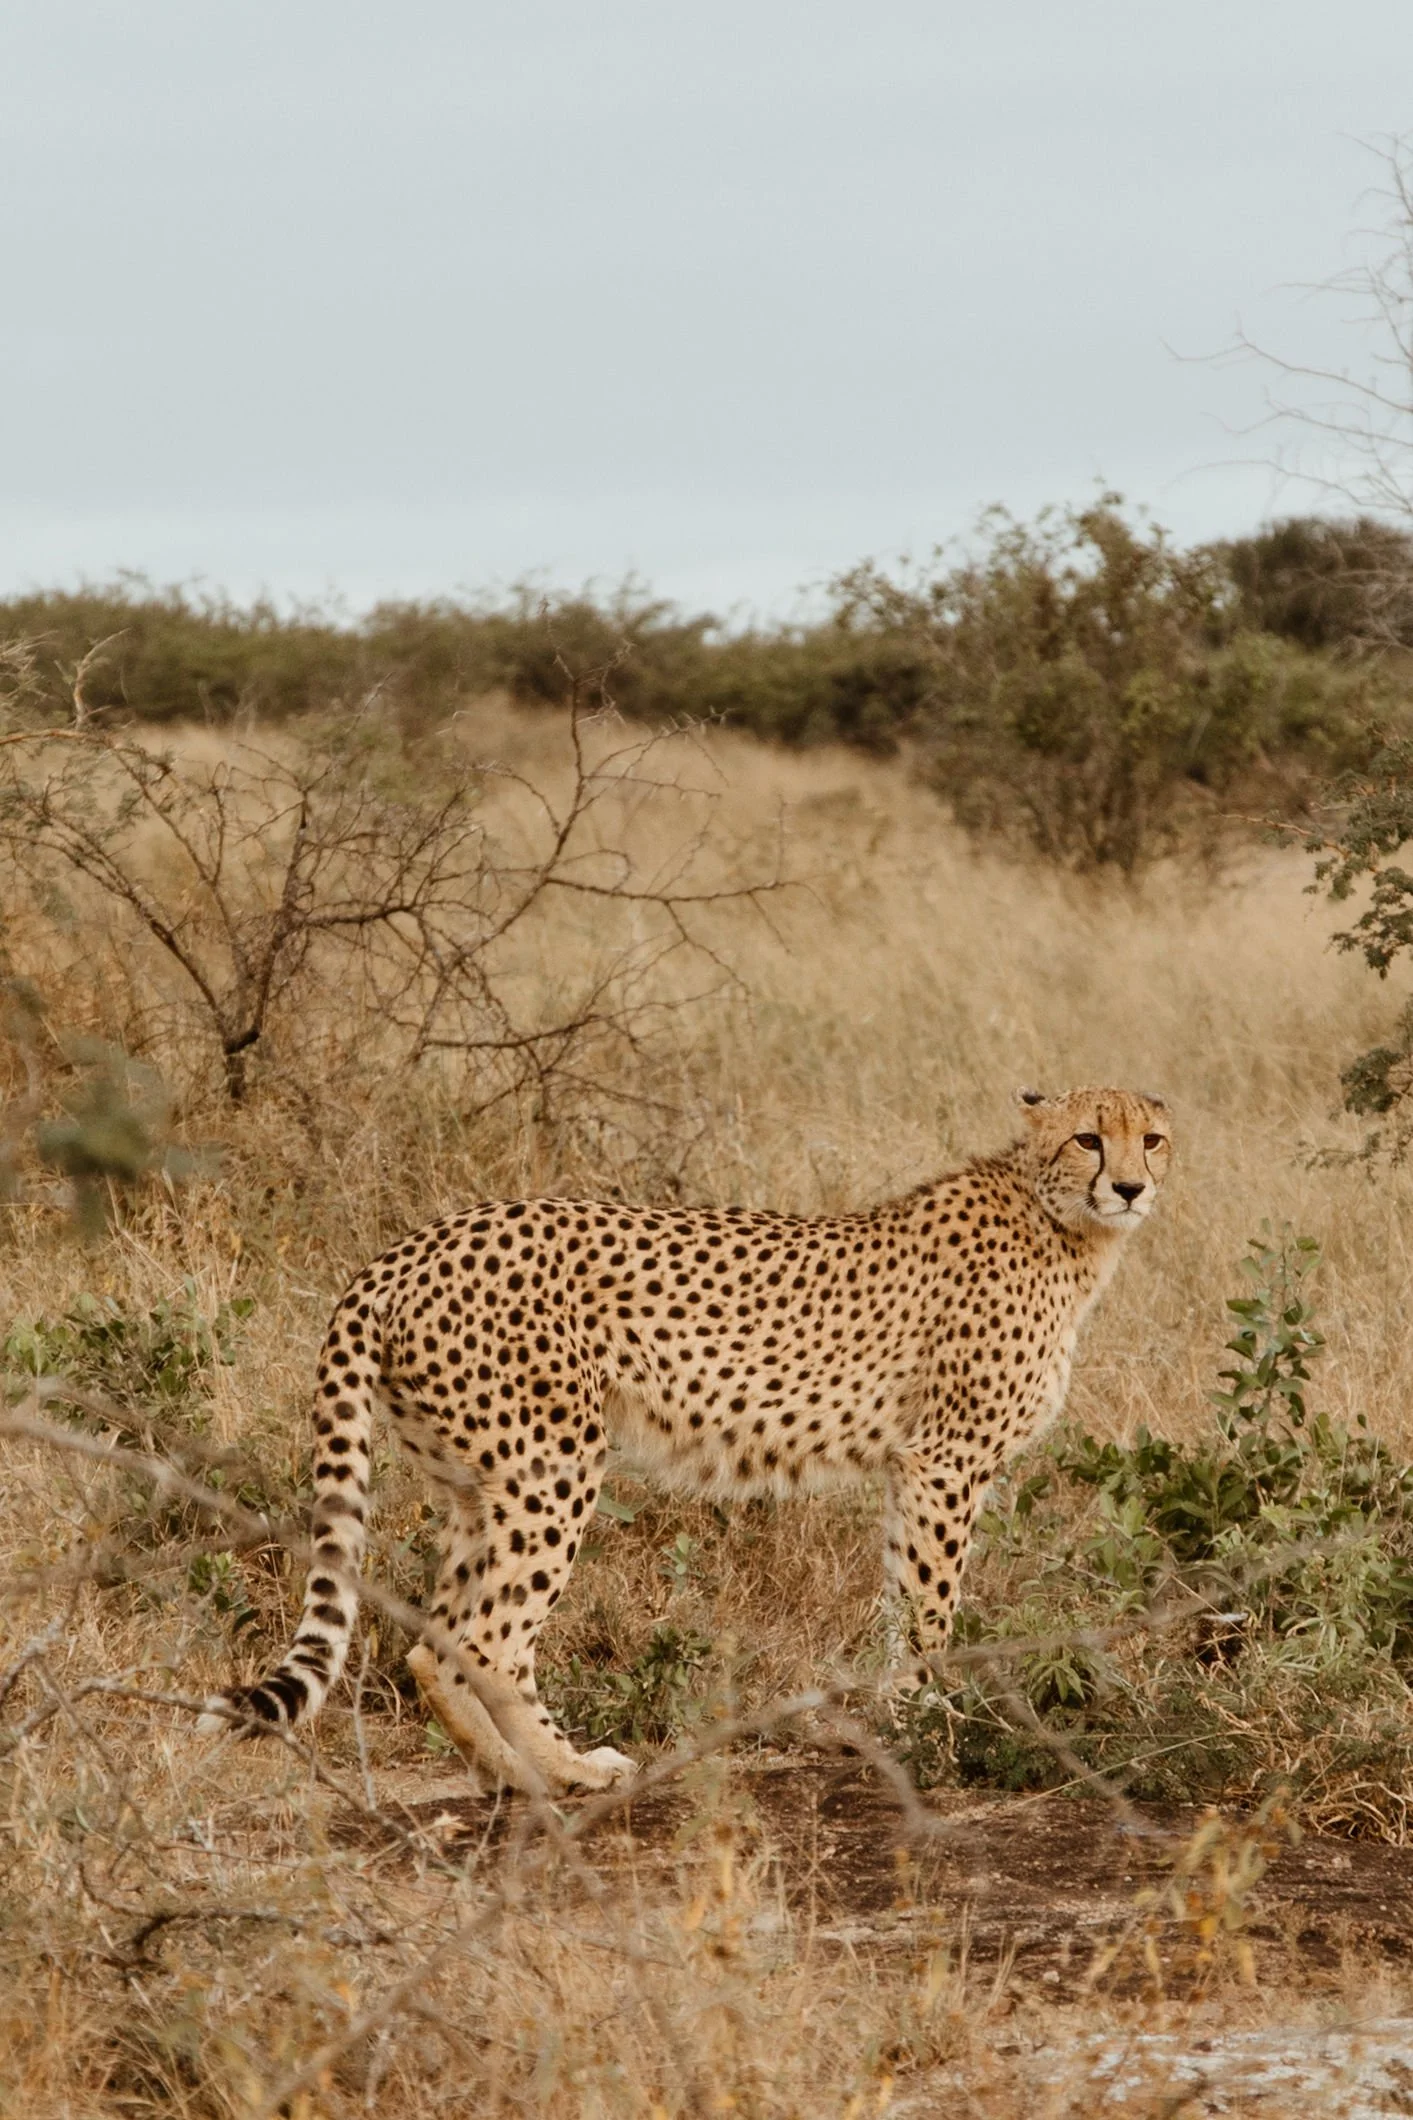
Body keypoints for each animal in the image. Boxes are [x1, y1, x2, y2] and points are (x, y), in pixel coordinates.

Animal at [200, 1085, 1171, 1793]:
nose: (1130, 1187)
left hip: (479, 1483)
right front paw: (941, 1725)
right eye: (1088, 1138)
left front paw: (903, 1719)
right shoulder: (947, 1461)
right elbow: (931, 1608)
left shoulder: (912, 1466)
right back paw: (572, 1770)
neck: (1060, 1223)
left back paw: (512, 1775)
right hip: (552, 1468)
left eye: (1151, 1139)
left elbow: (902, 1599)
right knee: (486, 1642)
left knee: (433, 1643)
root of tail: (405, 1249)